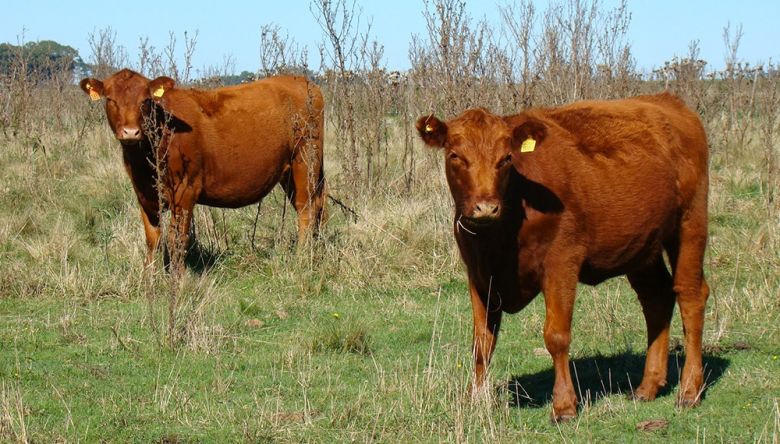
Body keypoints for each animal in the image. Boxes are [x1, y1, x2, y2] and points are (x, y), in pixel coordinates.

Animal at [418, 92, 708, 422]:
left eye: (506, 159)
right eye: (455, 156)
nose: (485, 207)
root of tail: (667, 100)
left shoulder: (561, 262)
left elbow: (556, 336)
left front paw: (565, 405)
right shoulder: (479, 274)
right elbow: (482, 341)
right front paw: (476, 399)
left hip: (690, 224)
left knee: (690, 296)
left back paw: (690, 390)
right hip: (643, 245)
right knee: (656, 298)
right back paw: (648, 386)